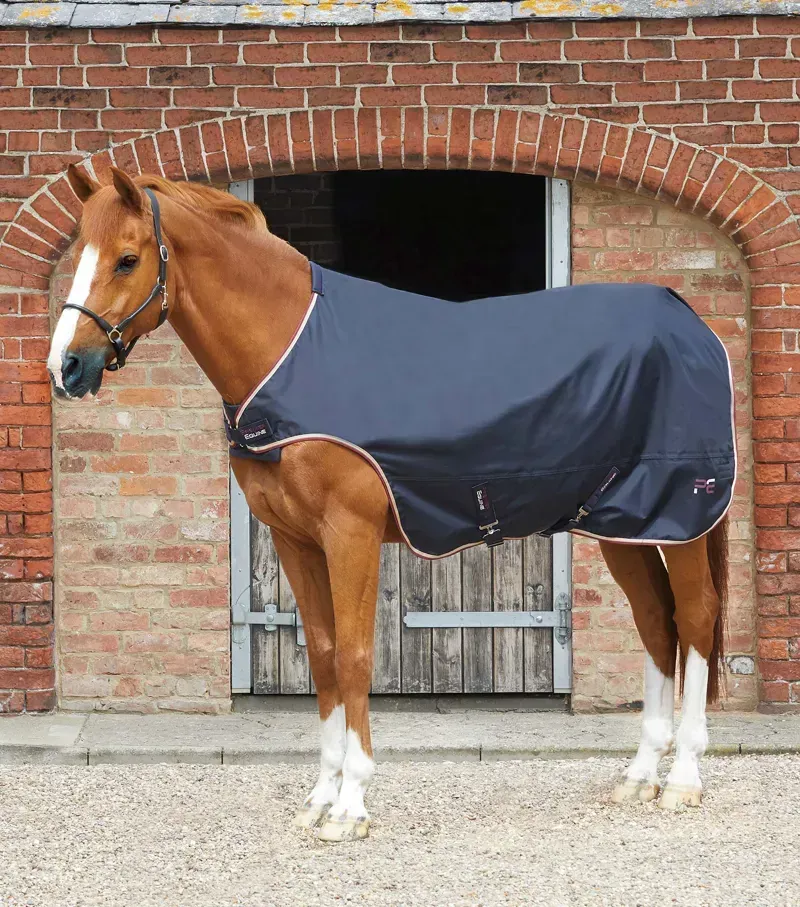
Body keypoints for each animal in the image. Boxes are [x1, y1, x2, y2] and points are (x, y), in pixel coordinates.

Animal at [48, 165, 730, 842]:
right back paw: (640, 777)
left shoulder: (350, 533)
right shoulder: (295, 540)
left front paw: (351, 805)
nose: (66, 367)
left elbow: (355, 656)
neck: (290, 353)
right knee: (655, 622)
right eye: (78, 253)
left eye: (128, 259)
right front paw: (320, 797)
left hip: (681, 518)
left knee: (696, 616)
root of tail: (689, 322)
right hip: (625, 523)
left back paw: (683, 780)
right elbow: (324, 656)